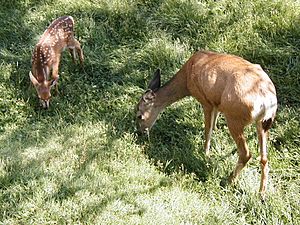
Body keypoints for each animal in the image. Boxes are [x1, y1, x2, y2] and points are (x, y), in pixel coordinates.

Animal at [136, 51, 276, 195]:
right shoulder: (216, 103)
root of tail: (266, 101)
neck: (186, 79)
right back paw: (261, 193)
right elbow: (213, 124)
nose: (139, 132)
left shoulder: (206, 101)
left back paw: (229, 180)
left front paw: (206, 155)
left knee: (246, 153)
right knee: (264, 158)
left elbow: (207, 130)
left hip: (234, 117)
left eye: (139, 116)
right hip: (264, 123)